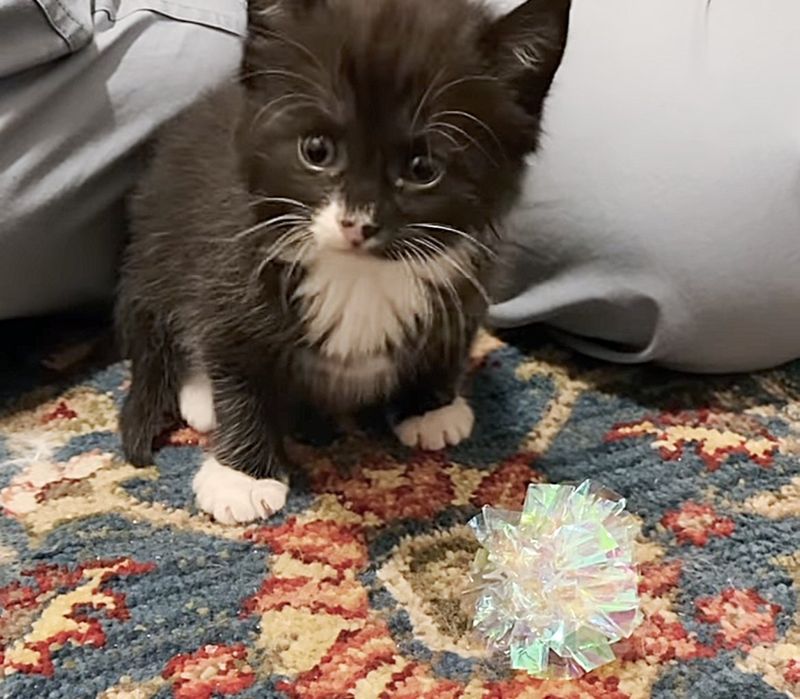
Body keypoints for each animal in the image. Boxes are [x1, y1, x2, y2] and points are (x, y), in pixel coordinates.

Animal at [117, 0, 568, 524]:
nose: (357, 224)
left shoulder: (470, 271)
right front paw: (242, 475)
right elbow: (239, 363)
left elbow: (452, 333)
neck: (361, 275)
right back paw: (202, 394)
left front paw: (430, 406)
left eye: (423, 169)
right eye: (316, 150)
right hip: (161, 250)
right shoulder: (228, 258)